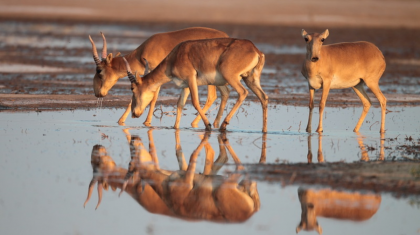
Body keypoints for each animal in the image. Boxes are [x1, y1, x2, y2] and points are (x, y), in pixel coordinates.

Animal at [88, 26, 230, 127]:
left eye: (99, 70)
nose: (97, 93)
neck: (142, 52)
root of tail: (226, 36)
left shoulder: (152, 72)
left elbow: (153, 97)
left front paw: (145, 121)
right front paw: (122, 120)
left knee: (212, 96)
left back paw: (197, 123)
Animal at [124, 37, 270, 131]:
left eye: (132, 88)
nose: (134, 113)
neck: (175, 56)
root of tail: (256, 50)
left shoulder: (191, 79)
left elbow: (194, 102)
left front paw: (208, 125)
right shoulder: (185, 85)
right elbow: (180, 104)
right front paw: (175, 127)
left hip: (232, 77)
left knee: (243, 92)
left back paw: (223, 125)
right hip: (250, 79)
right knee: (263, 97)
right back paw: (263, 130)